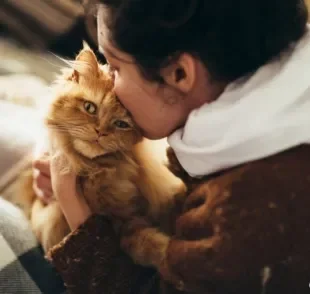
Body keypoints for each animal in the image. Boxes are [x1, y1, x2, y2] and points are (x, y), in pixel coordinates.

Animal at [21, 44, 186, 270]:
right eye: (90, 107)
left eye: (121, 124)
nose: (100, 132)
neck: (95, 171)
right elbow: (139, 242)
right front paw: (164, 250)